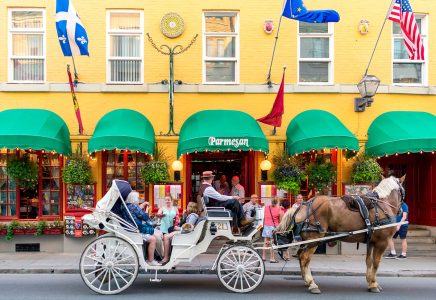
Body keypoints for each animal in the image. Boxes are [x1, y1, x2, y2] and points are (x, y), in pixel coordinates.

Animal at [276, 175, 406, 294]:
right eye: (403, 191)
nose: (401, 211)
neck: (383, 204)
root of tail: (304, 205)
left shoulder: (371, 242)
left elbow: (369, 261)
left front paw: (370, 282)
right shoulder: (382, 242)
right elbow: (376, 263)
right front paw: (373, 284)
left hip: (307, 240)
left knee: (300, 255)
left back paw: (306, 280)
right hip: (314, 239)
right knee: (304, 258)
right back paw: (312, 284)